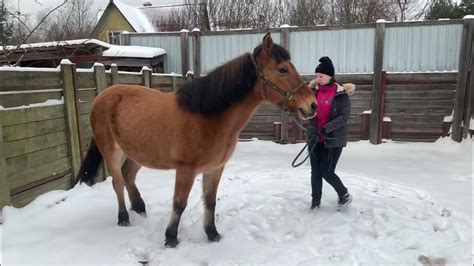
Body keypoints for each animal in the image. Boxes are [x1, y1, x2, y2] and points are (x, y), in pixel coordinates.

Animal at [77, 33, 314, 247]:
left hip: (136, 153)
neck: (207, 117)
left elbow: (210, 201)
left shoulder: (216, 168)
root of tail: (102, 96)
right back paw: (124, 218)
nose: (311, 105)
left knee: (128, 176)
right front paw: (171, 237)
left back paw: (140, 209)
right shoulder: (186, 170)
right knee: (117, 182)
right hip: (112, 151)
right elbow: (179, 203)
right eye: (282, 69)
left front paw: (212, 234)